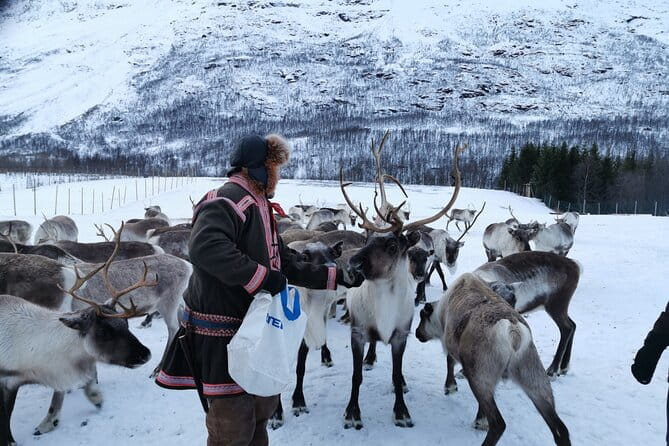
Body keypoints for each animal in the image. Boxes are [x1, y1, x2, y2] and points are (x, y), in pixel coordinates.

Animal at [338, 136, 464, 429]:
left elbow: (396, 375)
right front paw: (352, 412)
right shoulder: (357, 332)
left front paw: (402, 411)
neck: (384, 310)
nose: (352, 265)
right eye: (367, 238)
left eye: (394, 245)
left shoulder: (401, 335)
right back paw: (371, 357)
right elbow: (356, 376)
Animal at [415, 273, 571, 446]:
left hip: (479, 374)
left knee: (498, 423)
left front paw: (450, 387)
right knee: (560, 427)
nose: (416, 333)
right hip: (533, 376)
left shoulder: (453, 345)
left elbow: (449, 361)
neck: (441, 313)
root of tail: (513, 333)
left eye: (422, 316)